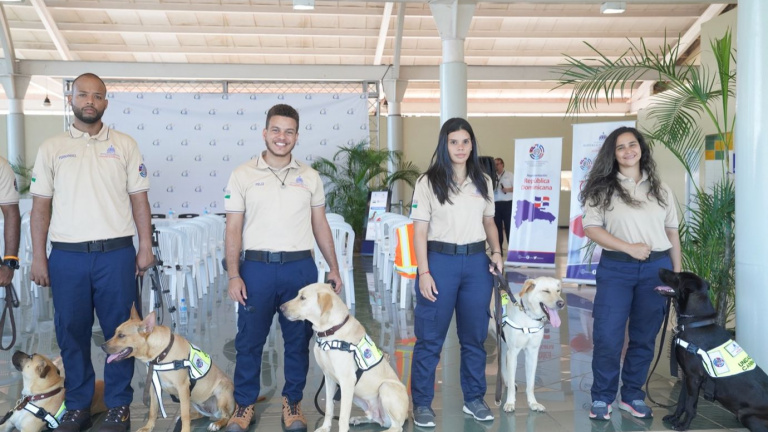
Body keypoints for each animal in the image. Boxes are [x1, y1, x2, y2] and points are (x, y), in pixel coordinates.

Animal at [102, 306, 234, 432]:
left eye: (121, 335)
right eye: (115, 333)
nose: (102, 346)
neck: (160, 355)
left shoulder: (182, 387)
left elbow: (184, 414)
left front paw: (184, 430)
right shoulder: (154, 387)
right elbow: (153, 411)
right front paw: (148, 427)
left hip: (220, 394)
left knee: (227, 417)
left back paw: (217, 424)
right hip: (193, 400)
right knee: (199, 414)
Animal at [282, 284, 412, 432]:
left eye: (303, 298)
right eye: (298, 295)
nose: (281, 308)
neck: (329, 332)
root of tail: (406, 414)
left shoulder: (347, 381)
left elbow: (343, 417)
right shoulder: (329, 378)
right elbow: (329, 407)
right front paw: (325, 427)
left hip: (385, 387)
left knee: (397, 427)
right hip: (357, 396)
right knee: (375, 418)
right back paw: (359, 419)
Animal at [492, 278, 564, 414]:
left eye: (558, 291)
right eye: (546, 291)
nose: (561, 303)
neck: (529, 317)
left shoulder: (532, 353)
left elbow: (530, 384)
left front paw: (533, 403)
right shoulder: (513, 353)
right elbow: (512, 383)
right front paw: (510, 403)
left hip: (504, 344)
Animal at [656, 268, 768, 430]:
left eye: (677, 276)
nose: (660, 269)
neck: (694, 323)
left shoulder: (694, 377)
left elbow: (690, 406)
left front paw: (683, 425)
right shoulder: (686, 376)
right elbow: (681, 401)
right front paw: (674, 418)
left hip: (747, 416)